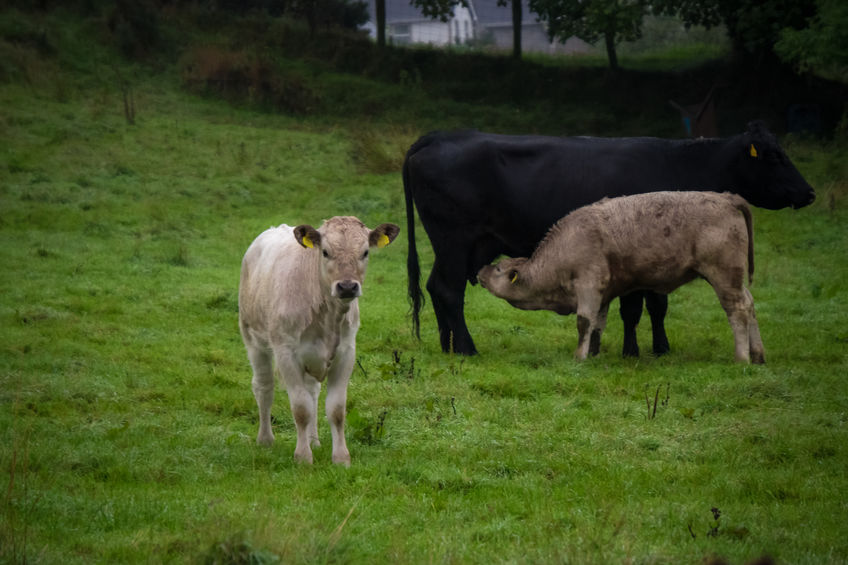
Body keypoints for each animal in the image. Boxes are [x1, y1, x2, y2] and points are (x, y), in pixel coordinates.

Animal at [237, 215, 400, 462]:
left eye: (365, 252)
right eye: (325, 252)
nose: (347, 286)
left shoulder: (346, 353)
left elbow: (336, 409)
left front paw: (341, 457)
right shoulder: (286, 353)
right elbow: (301, 409)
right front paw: (303, 457)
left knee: (312, 392)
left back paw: (314, 441)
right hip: (253, 339)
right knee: (264, 387)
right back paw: (265, 439)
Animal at [480, 192, 764, 364]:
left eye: (498, 269)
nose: (480, 271)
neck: (565, 245)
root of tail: (726, 198)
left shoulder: (589, 284)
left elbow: (583, 322)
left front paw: (579, 356)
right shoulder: (603, 293)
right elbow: (597, 324)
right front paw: (594, 353)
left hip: (723, 275)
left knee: (738, 310)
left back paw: (742, 357)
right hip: (735, 279)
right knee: (750, 305)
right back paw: (758, 354)